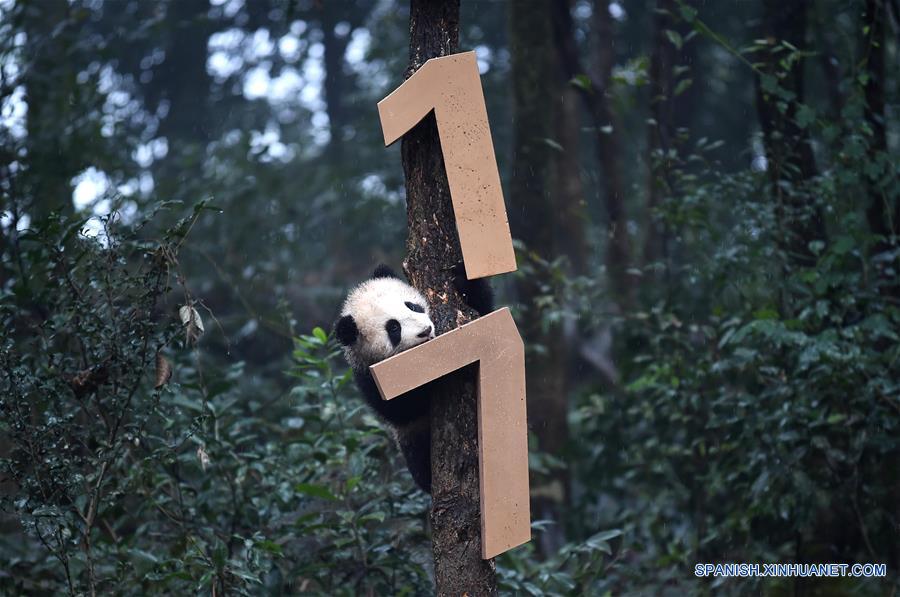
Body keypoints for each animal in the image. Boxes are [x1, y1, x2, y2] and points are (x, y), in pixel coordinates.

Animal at [333, 263, 492, 493]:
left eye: (412, 306)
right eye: (393, 328)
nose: (425, 330)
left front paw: (462, 280)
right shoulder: (370, 377)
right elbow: (404, 409)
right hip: (411, 439)